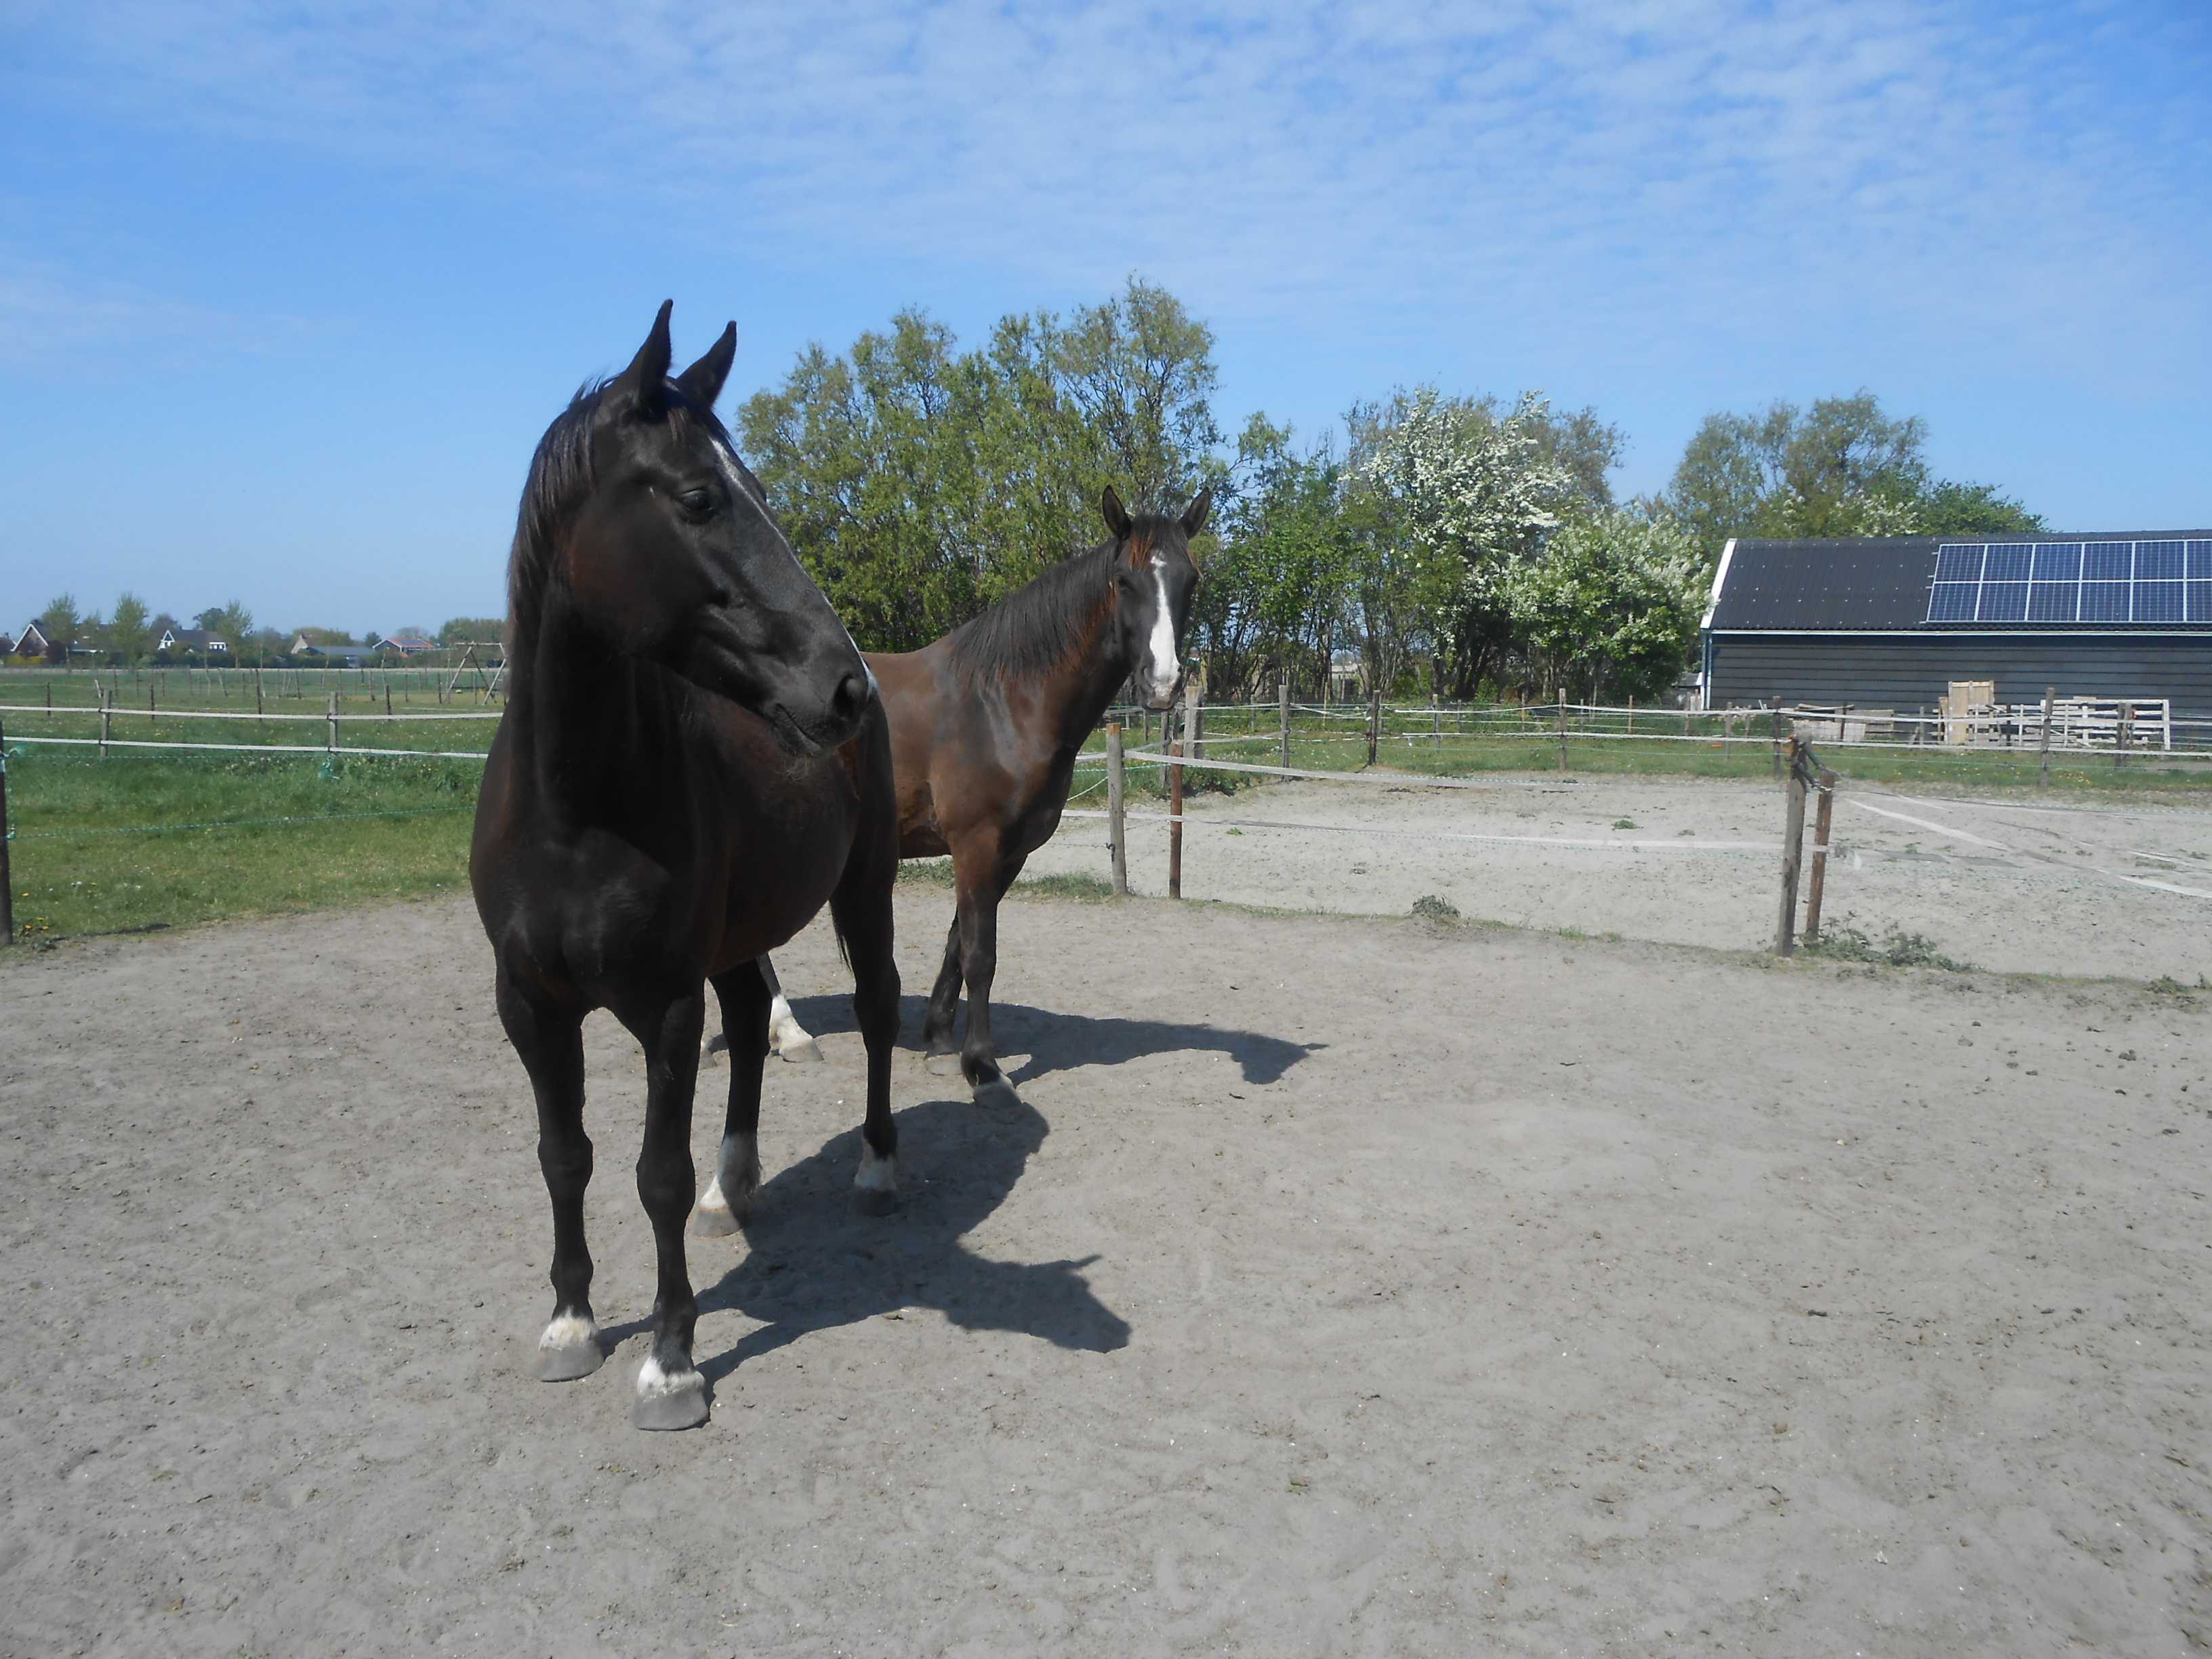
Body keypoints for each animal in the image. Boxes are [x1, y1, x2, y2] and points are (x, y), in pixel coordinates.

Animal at [473, 305, 898, 1433]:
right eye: (701, 497)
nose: (844, 687)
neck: (574, 812)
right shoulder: (529, 1005)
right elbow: (563, 1156)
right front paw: (571, 1324)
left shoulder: (663, 1003)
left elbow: (653, 1172)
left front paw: (670, 1363)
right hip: (740, 933)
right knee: (751, 1021)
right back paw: (732, 1186)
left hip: (865, 890)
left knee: (880, 1007)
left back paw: (878, 1167)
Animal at [760, 487, 1212, 1097]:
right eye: (1123, 581)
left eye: (1190, 580)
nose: (1163, 685)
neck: (1001, 702)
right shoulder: (975, 845)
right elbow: (980, 954)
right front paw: (983, 1066)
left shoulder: (1009, 851)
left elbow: (958, 944)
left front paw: (940, 1043)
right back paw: (787, 1033)